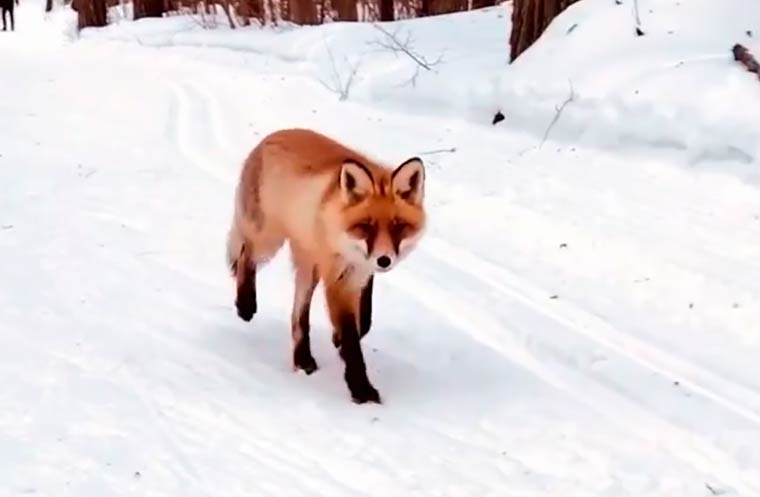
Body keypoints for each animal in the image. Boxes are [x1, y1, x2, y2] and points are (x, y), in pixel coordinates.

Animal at [226, 128, 428, 404]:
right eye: (366, 226)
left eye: (399, 226)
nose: (384, 260)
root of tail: (271, 136)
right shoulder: (337, 278)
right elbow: (352, 341)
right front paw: (362, 390)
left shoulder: (361, 272)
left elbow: (364, 318)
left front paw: (339, 339)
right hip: (269, 239)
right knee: (246, 256)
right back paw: (246, 305)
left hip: (308, 268)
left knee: (298, 318)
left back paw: (303, 360)